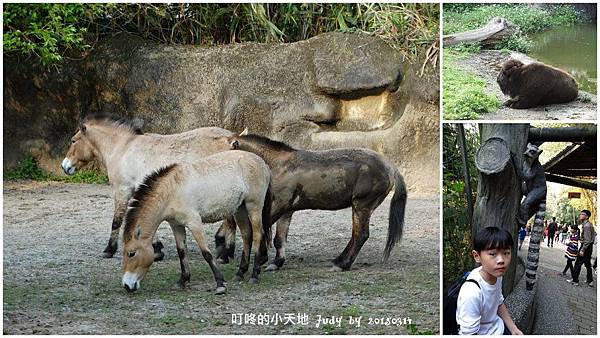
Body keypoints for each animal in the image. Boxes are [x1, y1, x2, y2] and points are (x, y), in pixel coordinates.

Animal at [61, 115, 233, 258]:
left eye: (73, 140)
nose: (65, 166)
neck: (122, 149)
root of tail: (230, 138)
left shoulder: (122, 190)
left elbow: (117, 220)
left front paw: (109, 250)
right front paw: (156, 248)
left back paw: (224, 248)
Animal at [122, 149, 272, 292]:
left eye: (131, 253)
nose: (127, 285)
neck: (172, 191)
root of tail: (262, 163)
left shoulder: (194, 223)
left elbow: (206, 253)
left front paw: (220, 284)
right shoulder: (176, 225)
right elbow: (182, 252)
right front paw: (182, 281)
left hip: (254, 207)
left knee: (258, 236)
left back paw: (254, 275)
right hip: (240, 209)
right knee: (247, 235)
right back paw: (240, 273)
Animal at [213, 133, 406, 272]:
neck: (279, 166)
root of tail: (391, 168)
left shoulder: (277, 207)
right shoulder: (287, 211)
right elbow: (279, 239)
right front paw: (276, 262)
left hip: (362, 206)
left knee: (360, 235)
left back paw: (342, 264)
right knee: (356, 235)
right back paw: (339, 260)